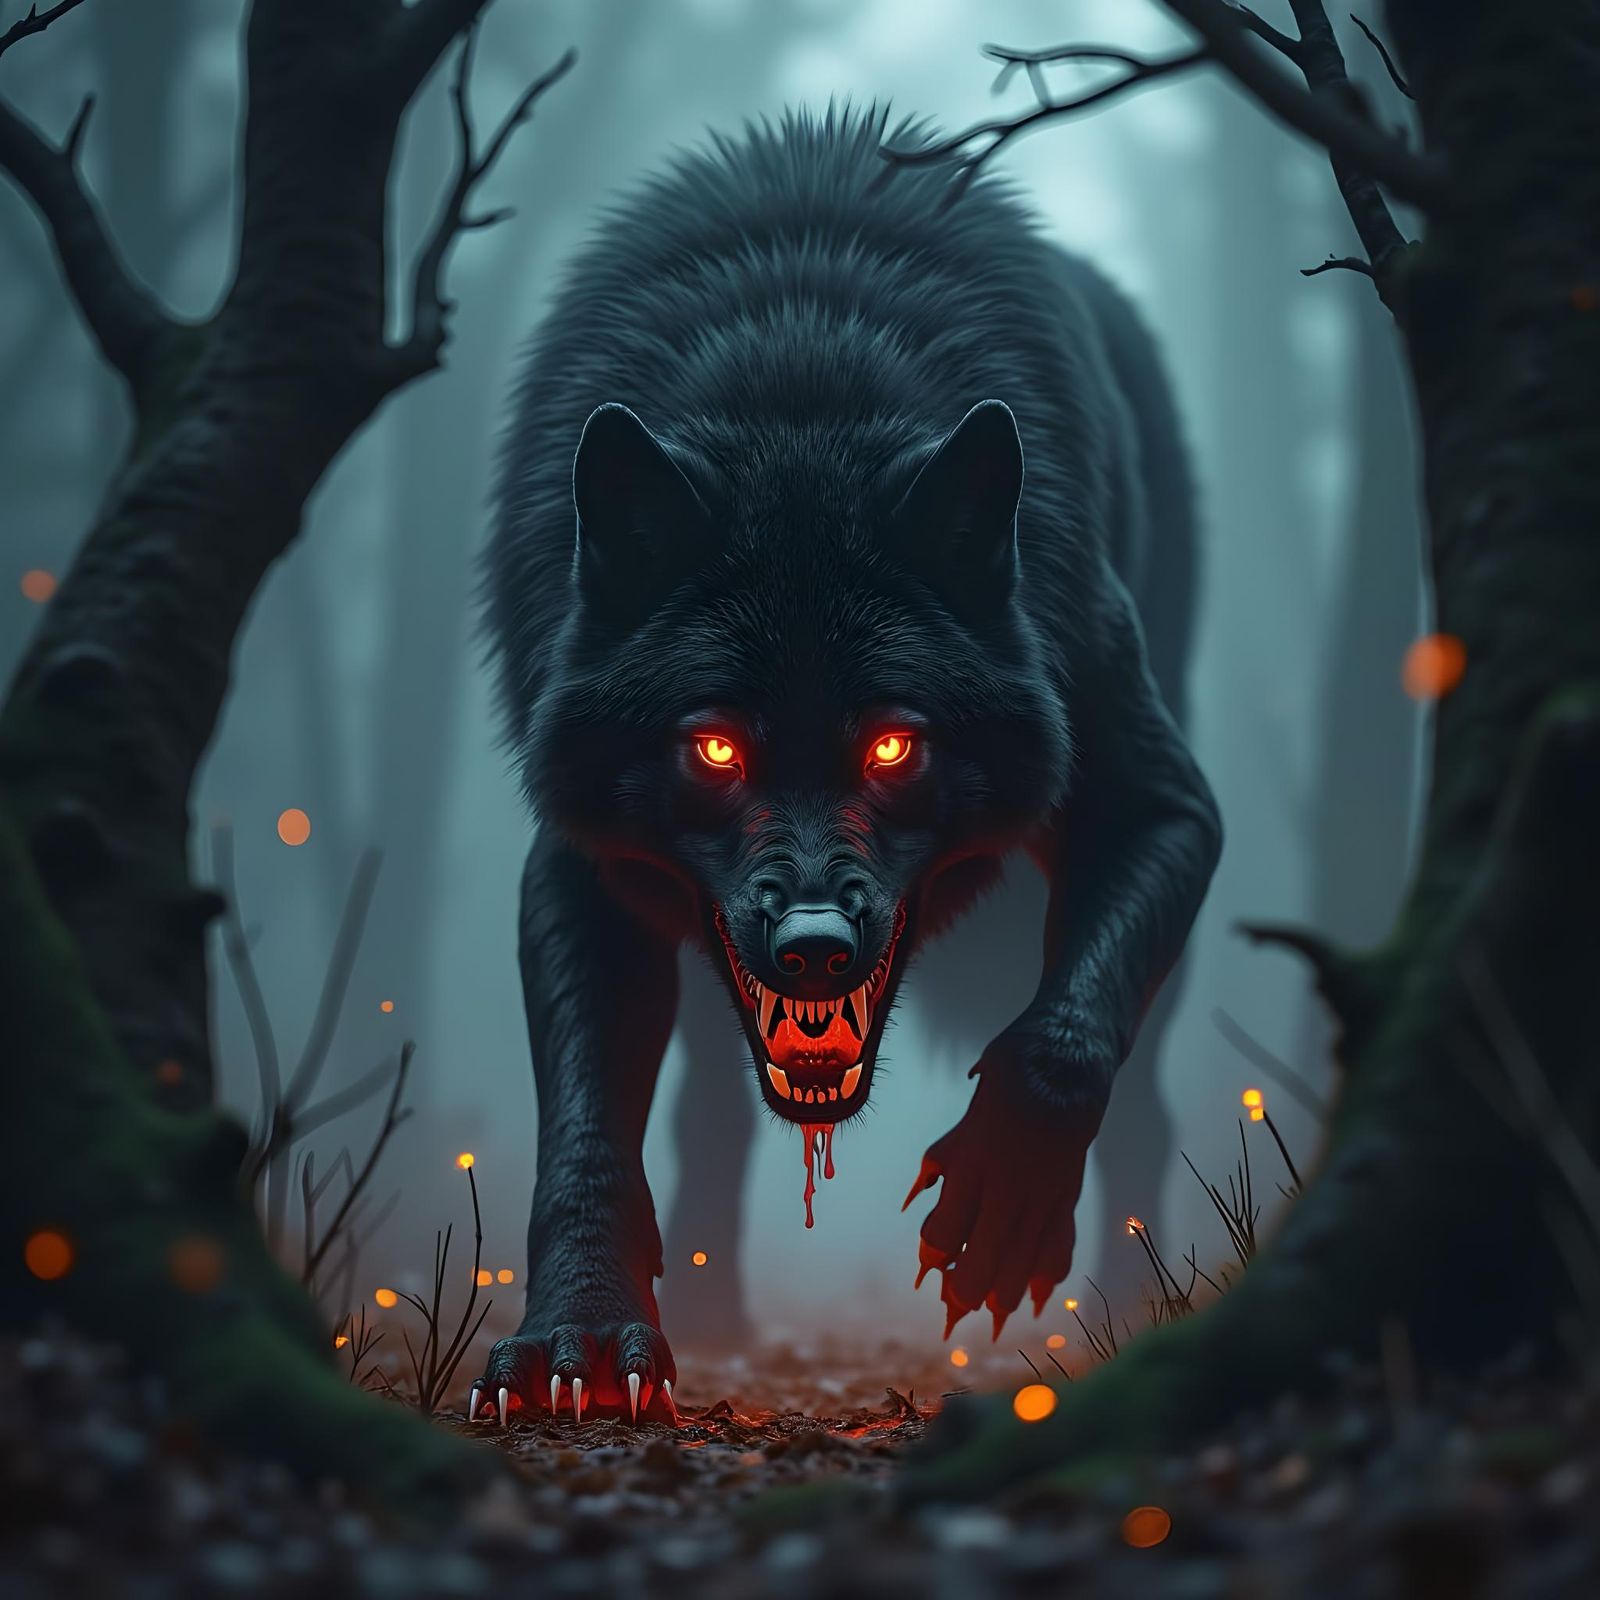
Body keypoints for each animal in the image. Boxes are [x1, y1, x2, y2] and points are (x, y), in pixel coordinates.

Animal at [472, 109, 1221, 1423]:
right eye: (715, 745)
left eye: (893, 742)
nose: (814, 942)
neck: (799, 392)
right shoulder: (582, 866)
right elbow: (586, 1134)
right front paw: (580, 1335)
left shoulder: (1161, 806)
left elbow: (1059, 1044)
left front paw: (1004, 1200)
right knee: (711, 1116)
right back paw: (721, 1316)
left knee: (1145, 1095)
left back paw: (1133, 1309)